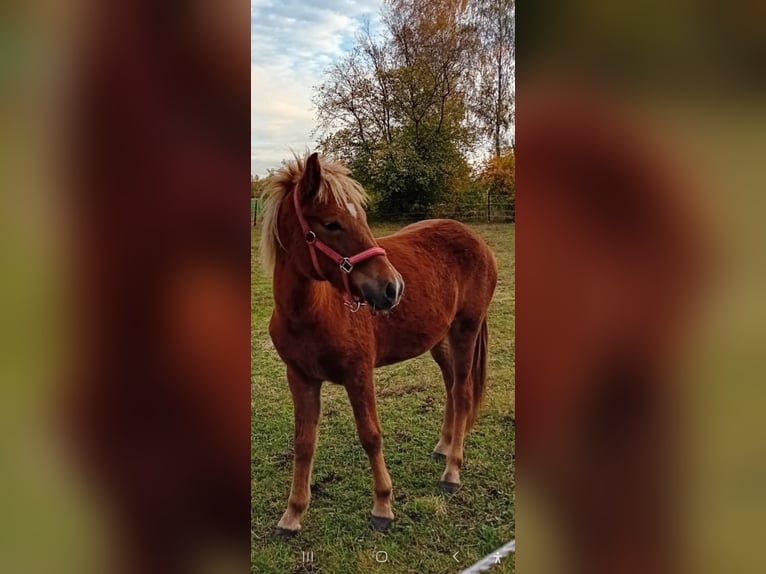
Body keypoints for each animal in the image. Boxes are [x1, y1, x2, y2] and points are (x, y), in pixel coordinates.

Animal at [260, 152, 498, 536]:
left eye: (362, 217)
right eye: (331, 224)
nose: (392, 288)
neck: (313, 312)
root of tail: (477, 240)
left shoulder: (359, 374)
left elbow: (371, 435)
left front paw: (383, 506)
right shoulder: (300, 378)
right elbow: (303, 443)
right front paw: (292, 514)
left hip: (466, 329)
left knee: (462, 393)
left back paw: (452, 471)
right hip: (440, 339)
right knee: (451, 386)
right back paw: (444, 446)